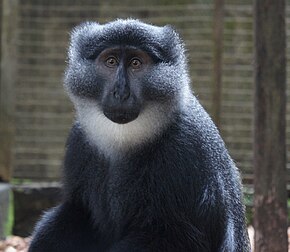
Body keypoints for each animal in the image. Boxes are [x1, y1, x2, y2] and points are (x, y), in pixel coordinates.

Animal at [28, 18, 250, 251]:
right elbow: (78, 211)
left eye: (136, 63)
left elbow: (182, 237)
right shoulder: (79, 140)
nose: (120, 92)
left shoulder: (188, 148)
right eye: (111, 61)